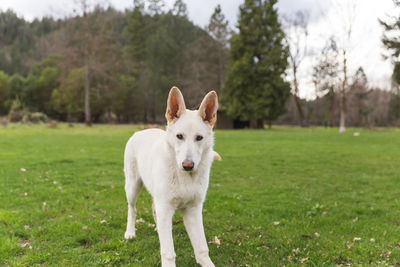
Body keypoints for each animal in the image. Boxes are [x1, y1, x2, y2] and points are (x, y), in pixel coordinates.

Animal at [125, 87, 219, 266]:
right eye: (179, 136)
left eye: (199, 138)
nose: (187, 165)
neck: (185, 178)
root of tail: (140, 131)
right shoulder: (166, 207)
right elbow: (168, 251)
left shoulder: (193, 210)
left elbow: (202, 247)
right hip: (133, 188)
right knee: (132, 209)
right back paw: (130, 233)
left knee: (154, 211)